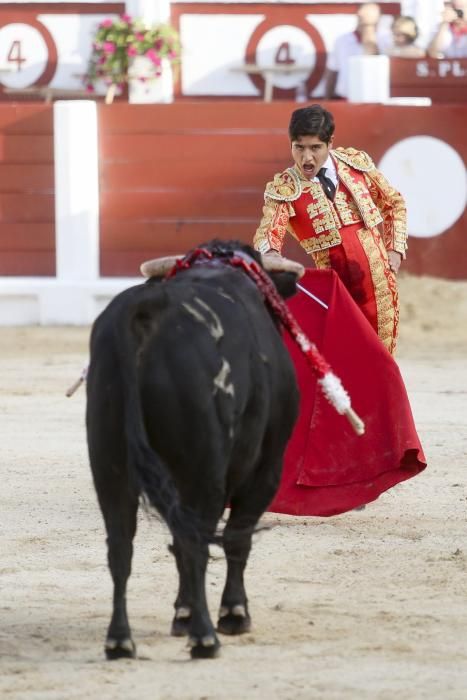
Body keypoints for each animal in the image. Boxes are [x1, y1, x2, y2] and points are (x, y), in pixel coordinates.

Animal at [86, 241, 302, 656]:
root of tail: (147, 313)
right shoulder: (265, 468)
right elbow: (237, 537)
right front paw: (232, 613)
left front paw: (182, 612)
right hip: (202, 468)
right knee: (196, 542)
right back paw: (204, 637)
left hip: (108, 462)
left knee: (120, 545)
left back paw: (119, 640)